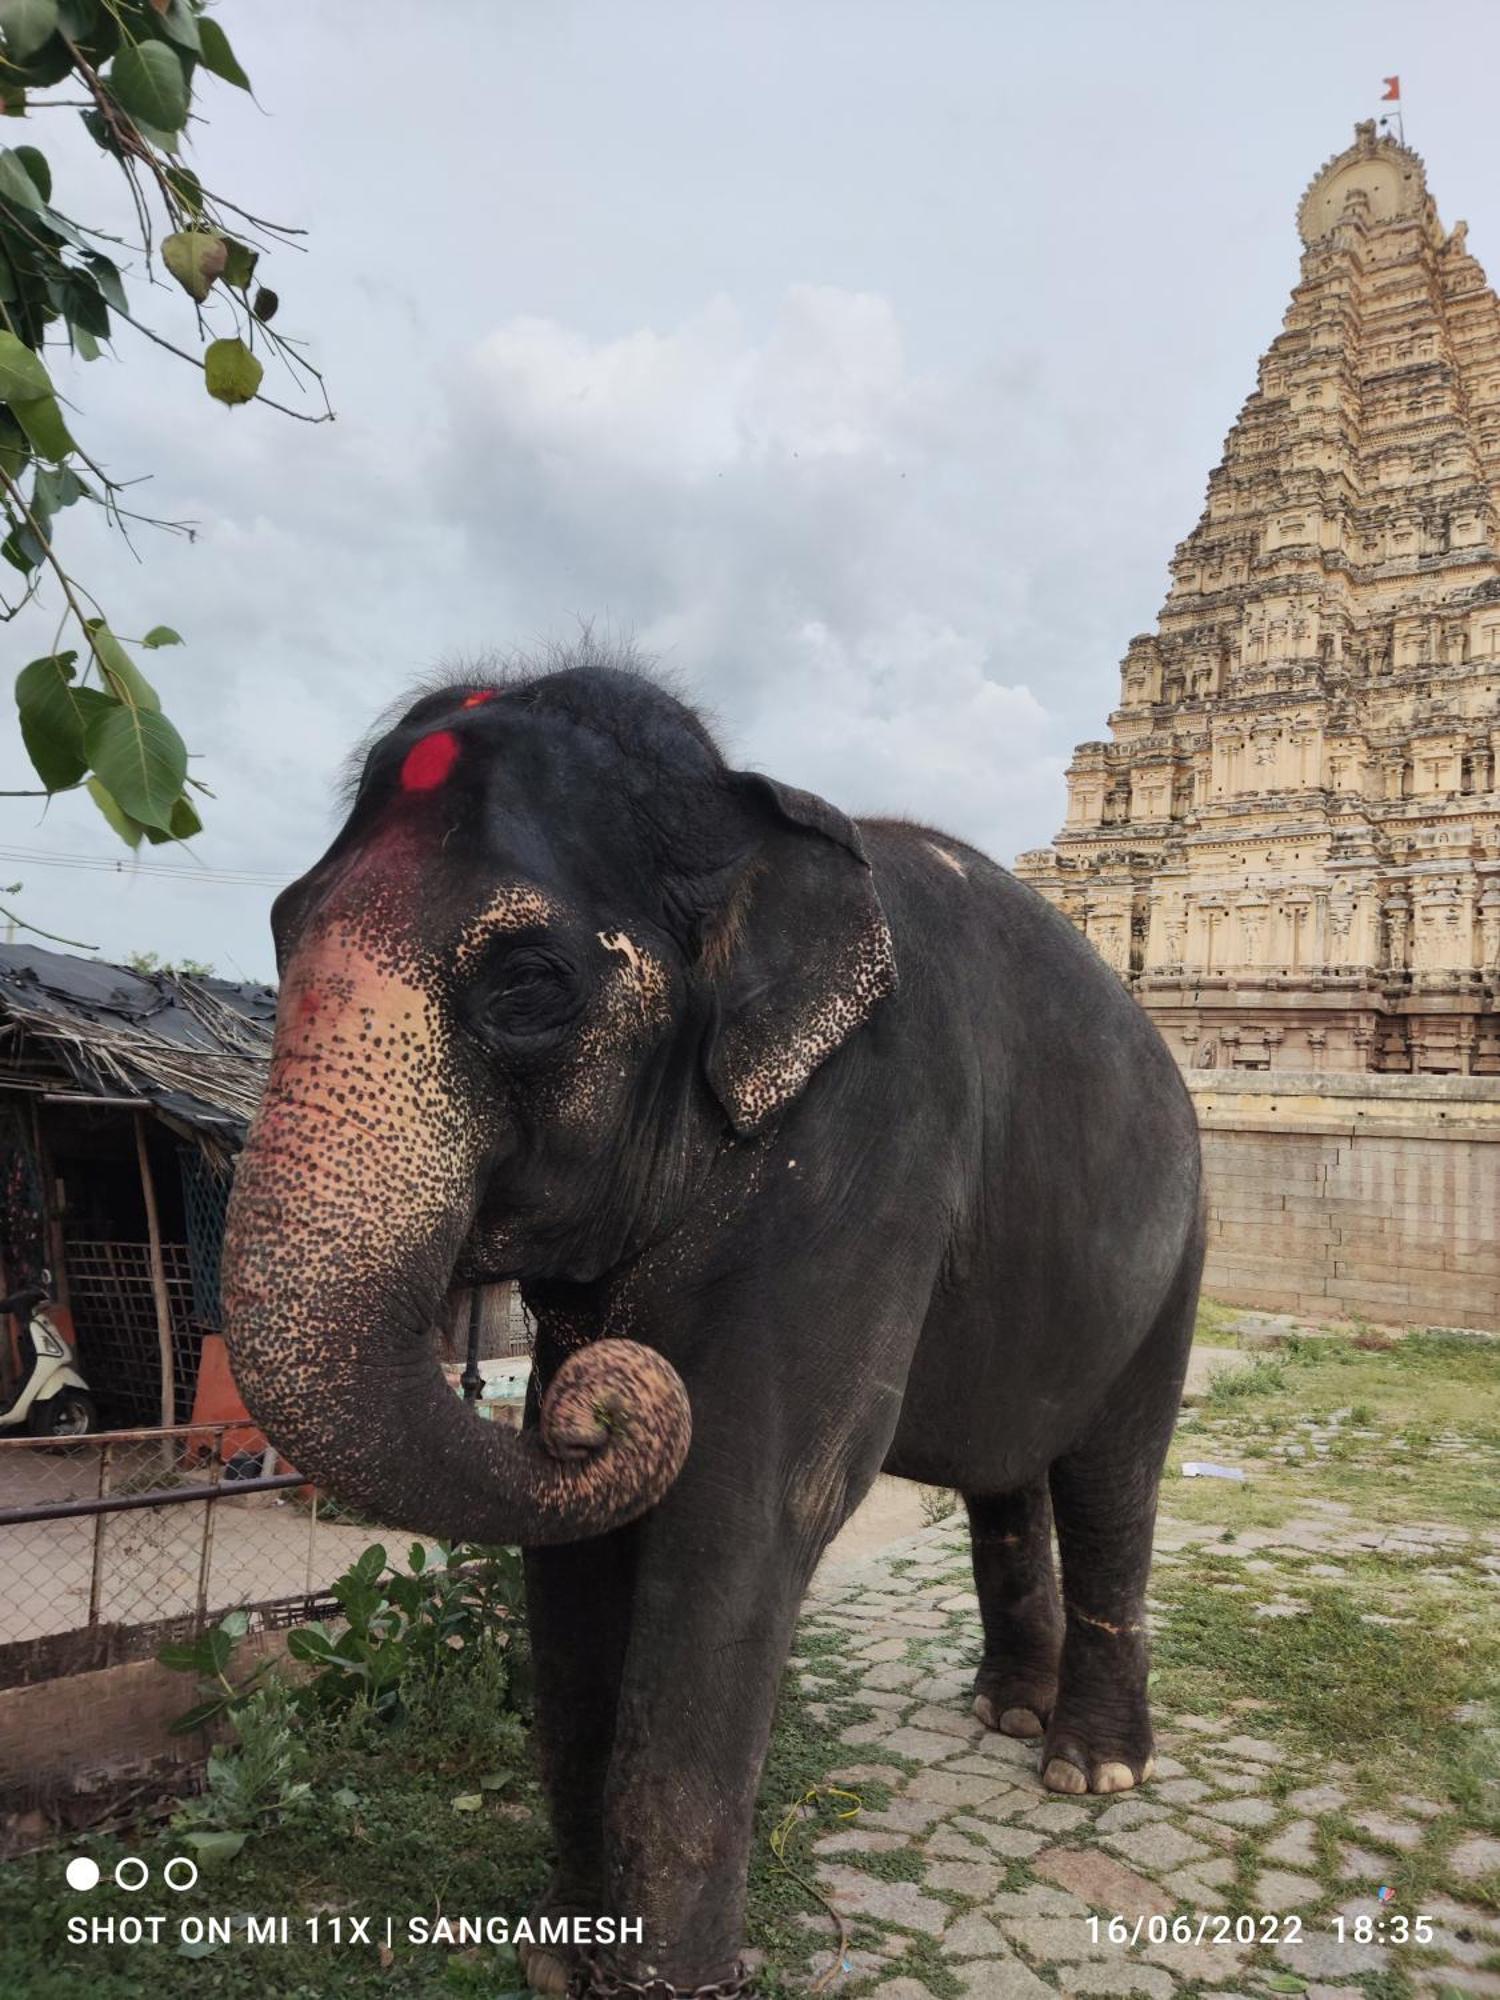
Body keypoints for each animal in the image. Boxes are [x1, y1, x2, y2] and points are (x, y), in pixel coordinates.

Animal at [223, 648, 1208, 1992]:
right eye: (279, 929)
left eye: (526, 982)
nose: (594, 1398)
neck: (749, 812)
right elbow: (576, 1549)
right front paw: (562, 1960)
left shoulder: (873, 1145)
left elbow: (749, 1510)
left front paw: (664, 1982)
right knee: (1010, 1482)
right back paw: (1007, 1709)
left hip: (1180, 1249)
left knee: (1114, 1476)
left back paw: (1088, 1767)